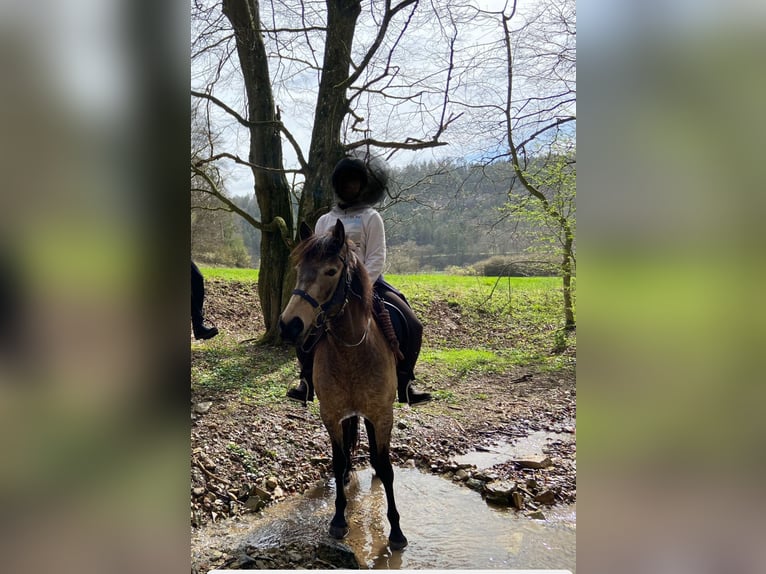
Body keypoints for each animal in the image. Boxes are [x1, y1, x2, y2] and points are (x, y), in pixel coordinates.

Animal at [280, 218, 412, 552]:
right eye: (299, 268)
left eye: (331, 271)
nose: (289, 325)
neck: (352, 349)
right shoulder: (331, 414)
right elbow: (338, 461)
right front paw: (339, 519)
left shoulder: (382, 414)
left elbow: (387, 466)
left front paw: (396, 531)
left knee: (377, 454)